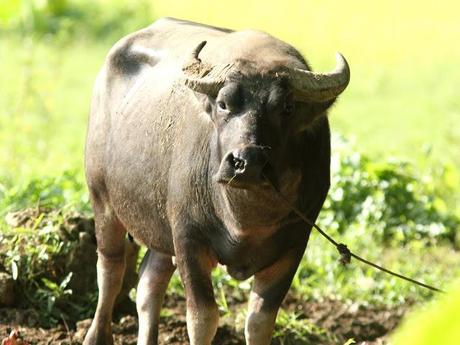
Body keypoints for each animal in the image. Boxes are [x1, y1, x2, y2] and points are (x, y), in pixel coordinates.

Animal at [82, 16, 348, 344]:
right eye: (223, 104)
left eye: (287, 107)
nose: (247, 163)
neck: (245, 217)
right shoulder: (188, 239)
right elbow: (203, 318)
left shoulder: (294, 245)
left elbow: (259, 321)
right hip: (103, 200)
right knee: (110, 270)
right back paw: (97, 334)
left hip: (161, 228)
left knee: (149, 283)